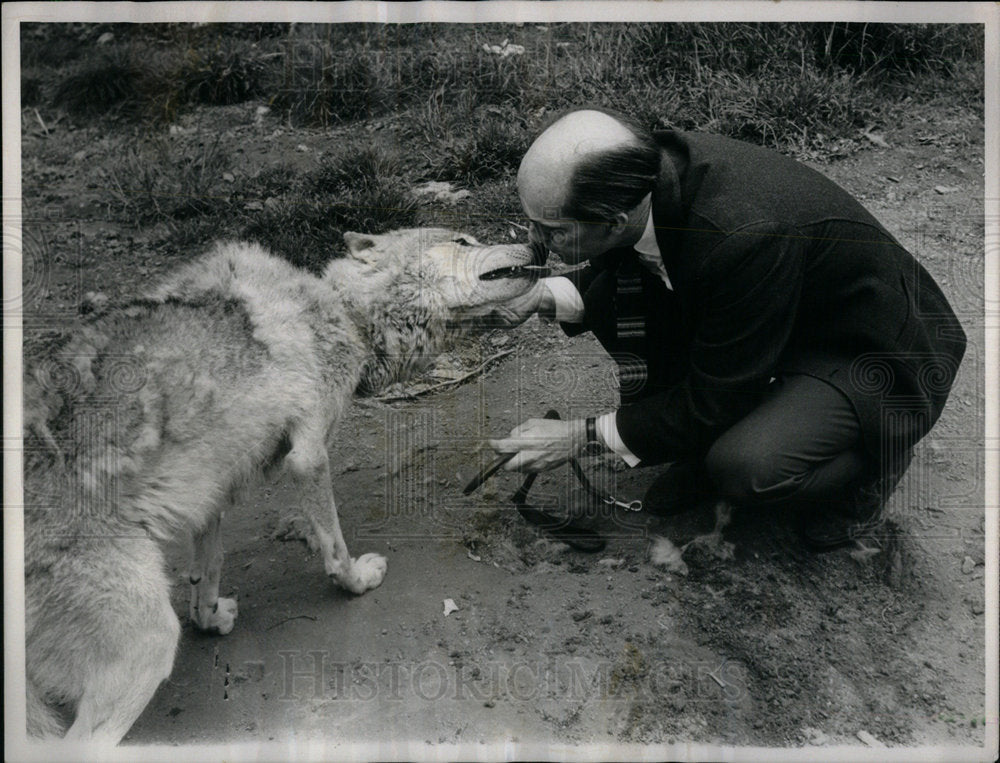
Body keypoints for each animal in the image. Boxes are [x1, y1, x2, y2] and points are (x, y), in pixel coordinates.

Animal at [23, 228, 544, 748]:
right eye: (462, 239)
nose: (539, 244)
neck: (340, 311)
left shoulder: (214, 485)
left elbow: (208, 567)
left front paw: (210, 618)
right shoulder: (308, 455)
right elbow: (334, 548)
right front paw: (358, 581)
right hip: (147, 647)